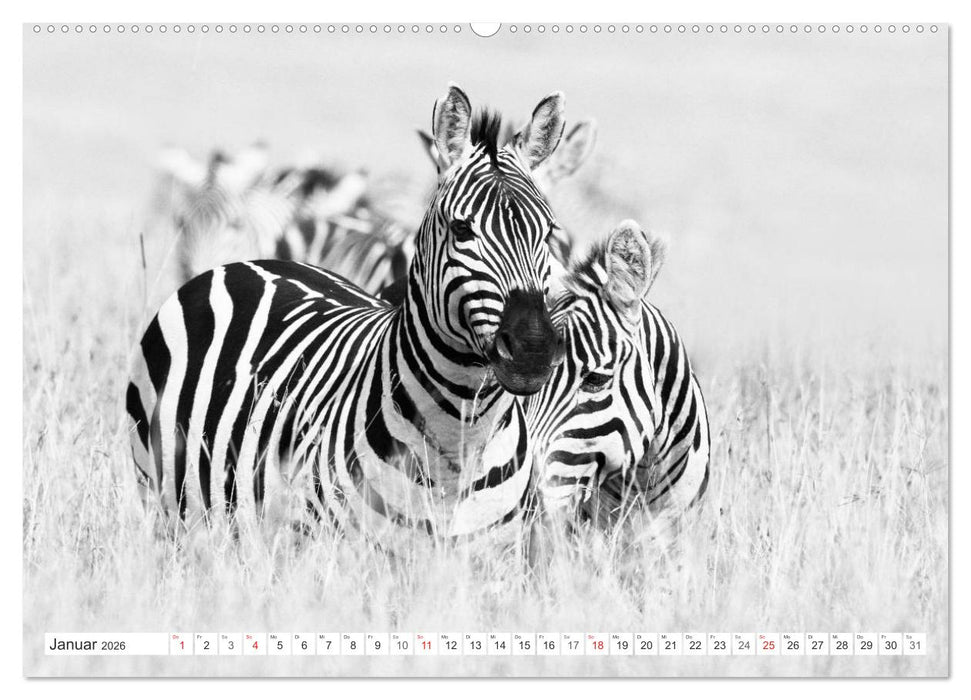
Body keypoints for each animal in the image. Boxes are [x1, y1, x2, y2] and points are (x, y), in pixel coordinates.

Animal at [126, 84, 570, 547]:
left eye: (549, 233)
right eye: (462, 229)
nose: (532, 351)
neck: (462, 438)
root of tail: (248, 263)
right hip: (166, 502)